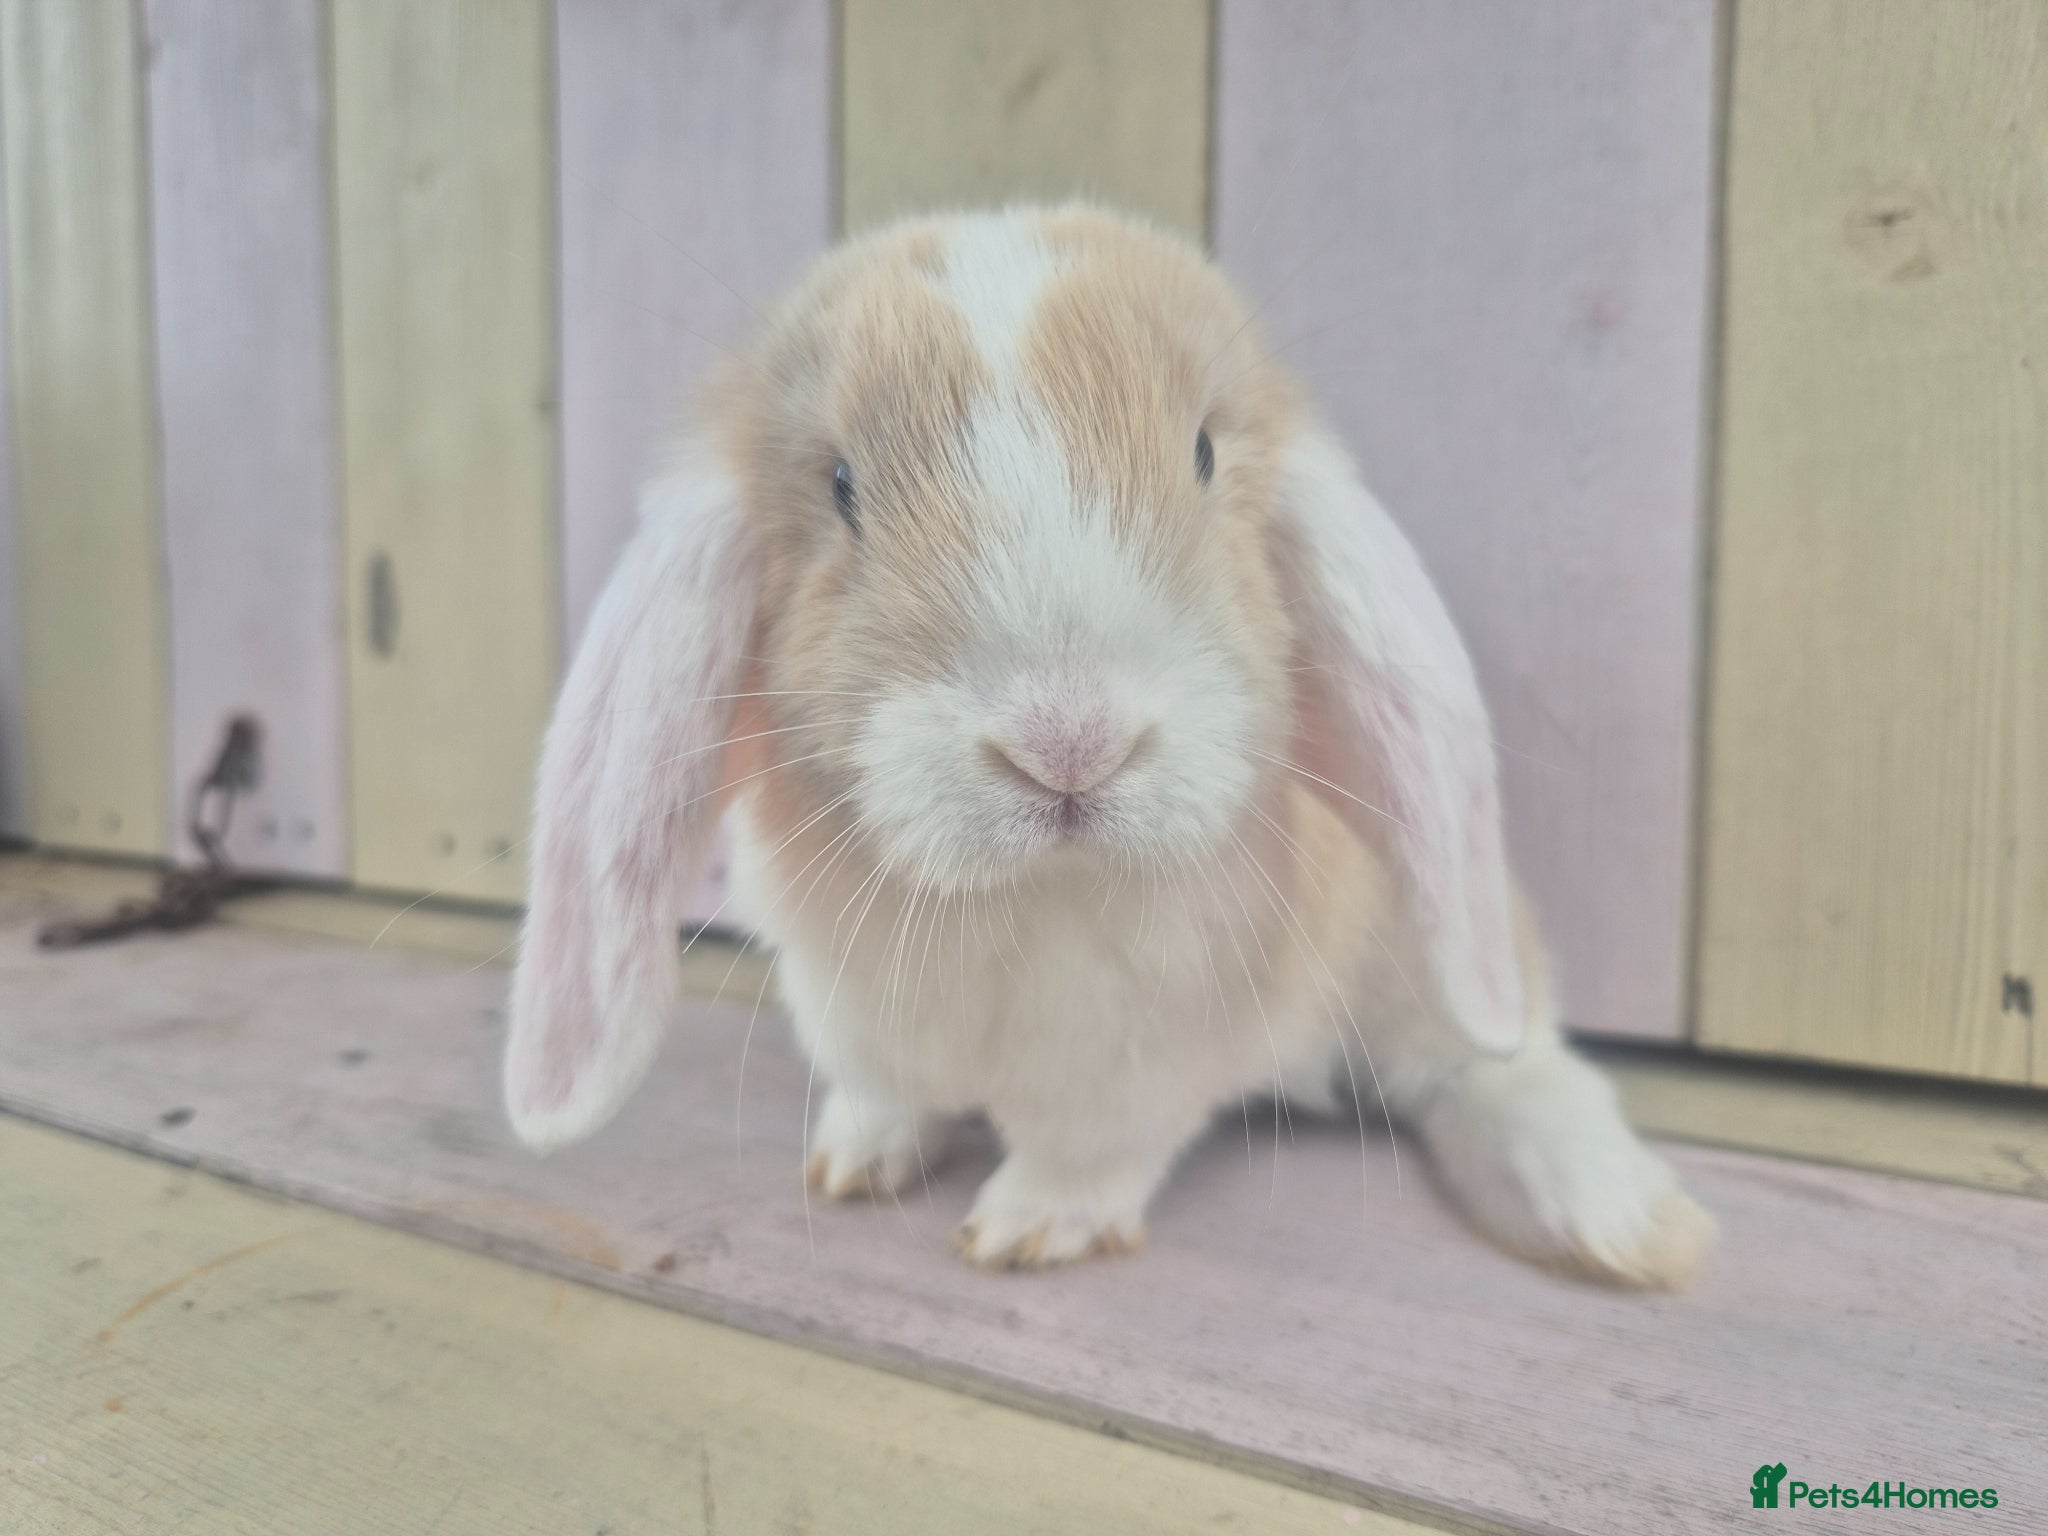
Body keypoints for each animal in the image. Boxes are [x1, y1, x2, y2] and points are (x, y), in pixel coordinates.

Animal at [503, 204, 1714, 1286]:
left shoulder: (1145, 1062)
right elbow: (888, 1095)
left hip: (1425, 946)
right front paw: (855, 1163)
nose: (1068, 741)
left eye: (1204, 453)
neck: (1035, 892)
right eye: (841, 487)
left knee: (1492, 1062)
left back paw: (1610, 1215)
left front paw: (1027, 1231)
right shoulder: (856, 1018)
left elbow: (1095, 1149)